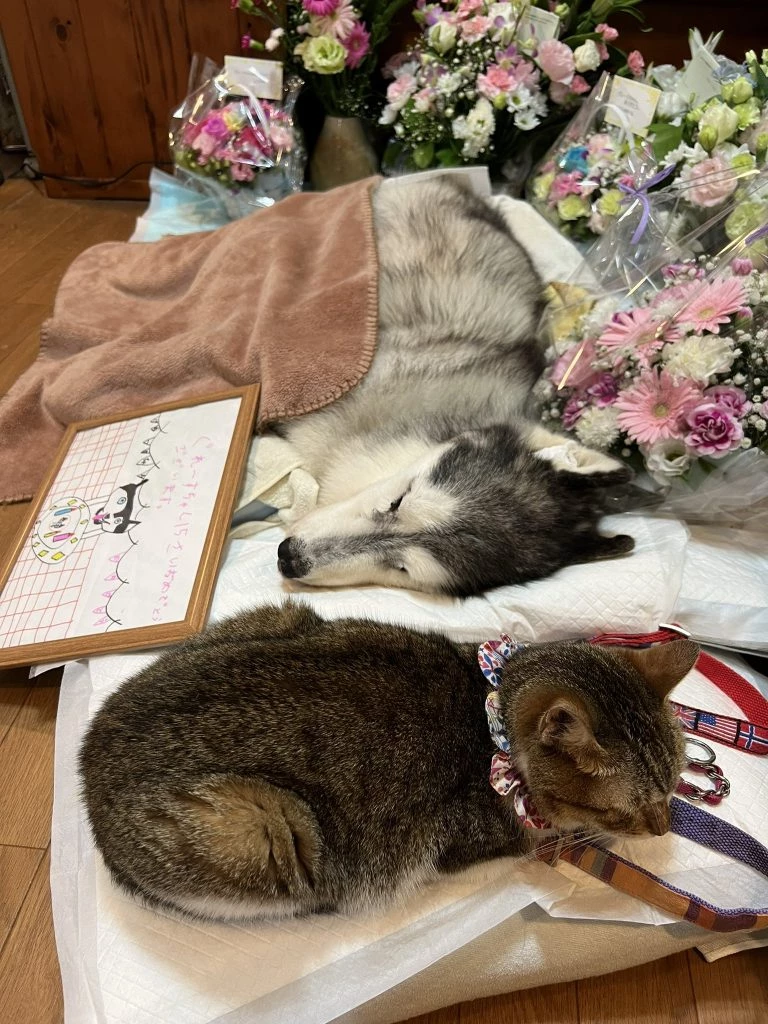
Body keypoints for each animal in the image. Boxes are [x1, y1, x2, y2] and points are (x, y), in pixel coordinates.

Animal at [79, 598, 696, 921]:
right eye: (625, 810)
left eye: (672, 784)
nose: (664, 828)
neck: (487, 715)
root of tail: (86, 771)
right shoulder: (471, 843)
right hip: (261, 827)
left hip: (276, 614)